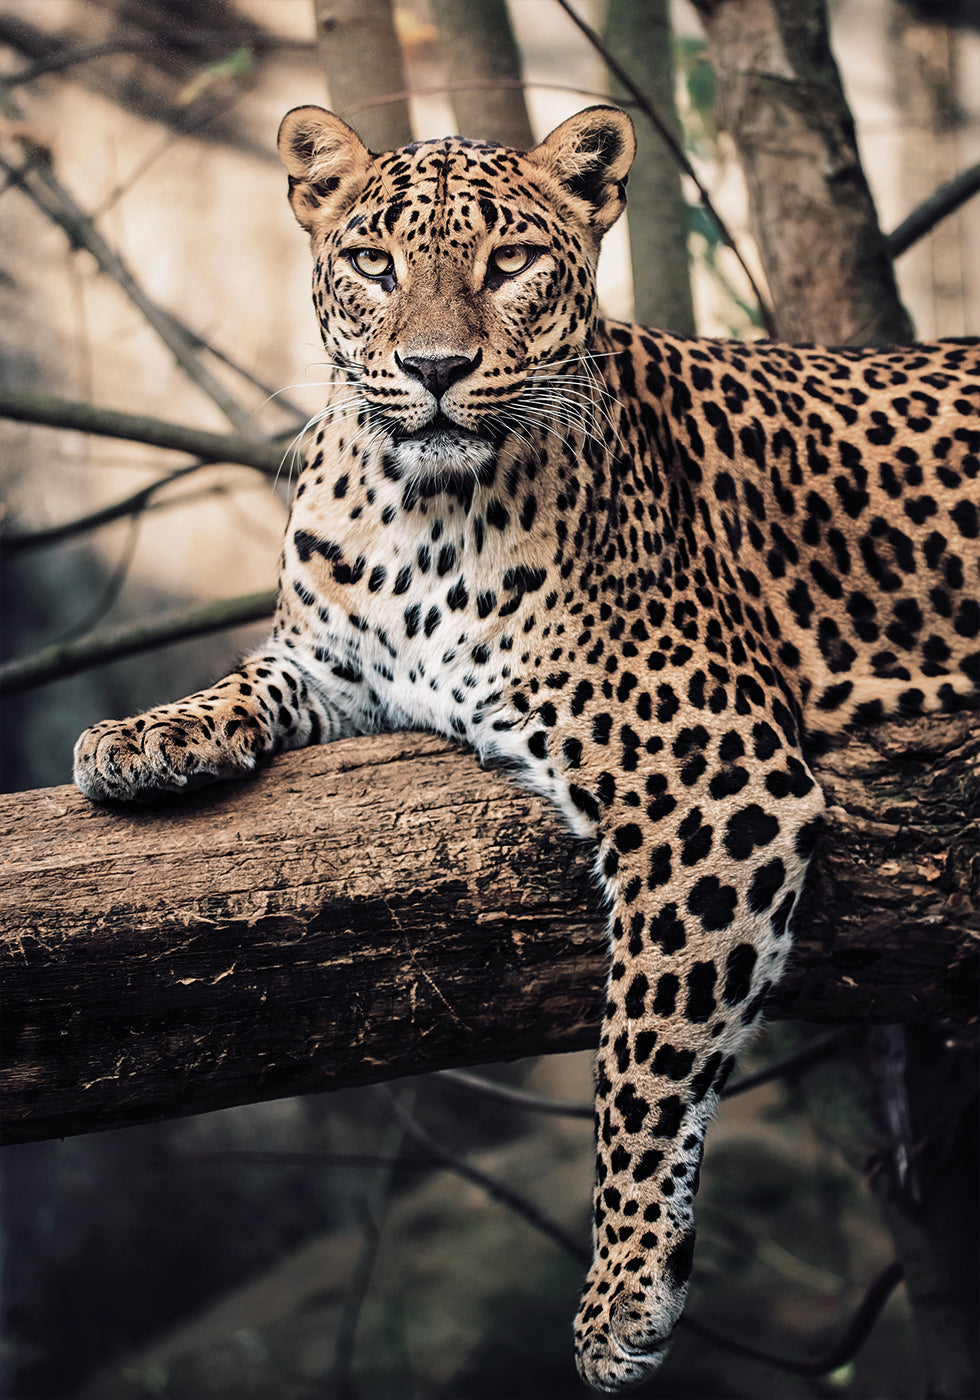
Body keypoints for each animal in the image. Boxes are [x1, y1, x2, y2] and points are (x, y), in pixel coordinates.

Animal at [73, 104, 980, 1392]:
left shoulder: (711, 778)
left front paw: (623, 1291)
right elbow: (254, 674)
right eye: (372, 264)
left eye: (508, 265)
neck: (414, 511)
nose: (432, 369)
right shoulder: (334, 664)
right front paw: (141, 737)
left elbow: (645, 1047)